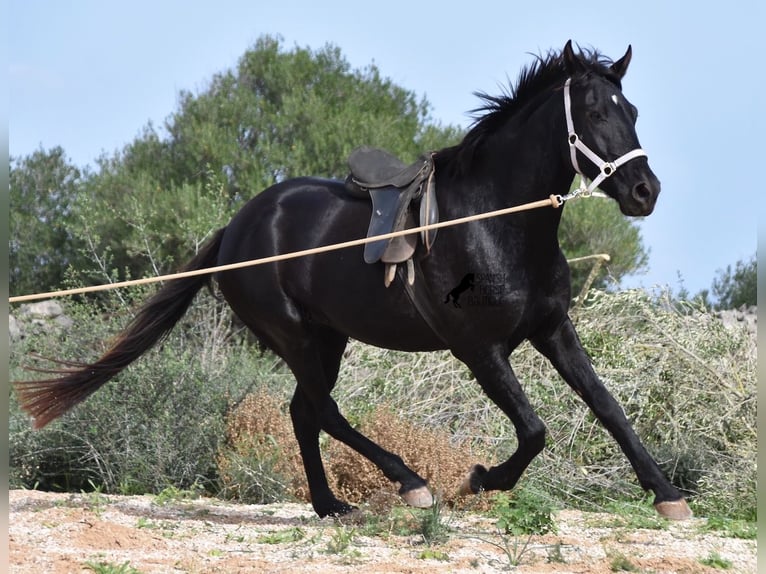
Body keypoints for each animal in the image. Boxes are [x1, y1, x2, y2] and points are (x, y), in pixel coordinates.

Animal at [13, 42, 696, 520]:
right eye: (593, 111)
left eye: (632, 111)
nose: (646, 191)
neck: (494, 221)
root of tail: (236, 228)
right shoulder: (480, 350)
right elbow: (534, 430)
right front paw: (480, 479)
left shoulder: (552, 330)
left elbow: (607, 407)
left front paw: (667, 494)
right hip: (293, 335)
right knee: (324, 411)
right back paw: (411, 484)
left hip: (328, 338)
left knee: (303, 413)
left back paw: (330, 505)